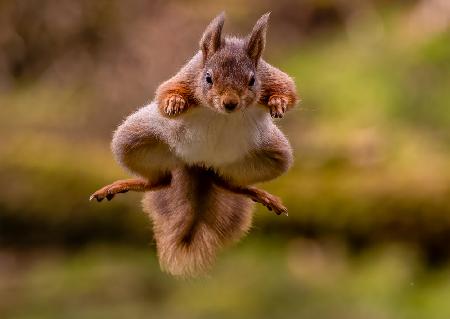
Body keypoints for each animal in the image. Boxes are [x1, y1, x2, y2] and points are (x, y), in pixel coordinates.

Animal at [89, 13, 298, 278]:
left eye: (252, 80)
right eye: (208, 78)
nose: (230, 103)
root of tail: (200, 165)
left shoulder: (270, 74)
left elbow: (288, 88)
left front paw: (278, 102)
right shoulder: (188, 74)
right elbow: (167, 90)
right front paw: (173, 103)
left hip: (274, 156)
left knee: (227, 183)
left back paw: (254, 192)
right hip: (132, 139)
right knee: (159, 181)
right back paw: (123, 185)